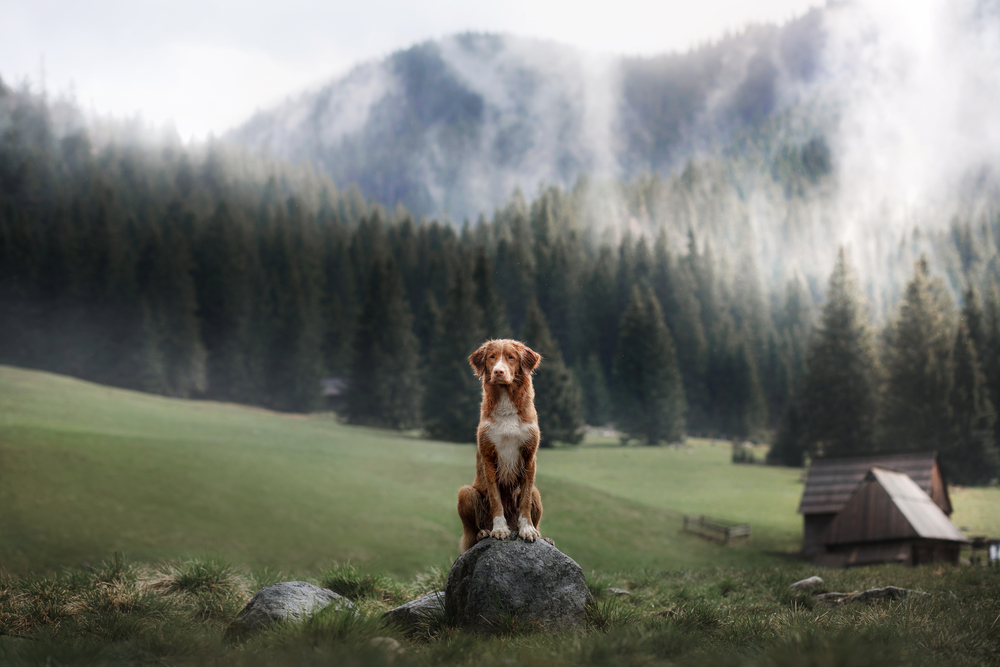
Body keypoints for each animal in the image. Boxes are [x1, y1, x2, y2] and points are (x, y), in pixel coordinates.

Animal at [458, 340, 544, 552]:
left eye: (511, 357)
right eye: (492, 357)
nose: (498, 371)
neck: (506, 399)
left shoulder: (529, 456)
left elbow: (525, 500)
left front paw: (527, 530)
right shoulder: (489, 457)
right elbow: (496, 498)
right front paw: (499, 529)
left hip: (538, 494)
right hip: (465, 492)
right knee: (473, 531)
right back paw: (484, 532)